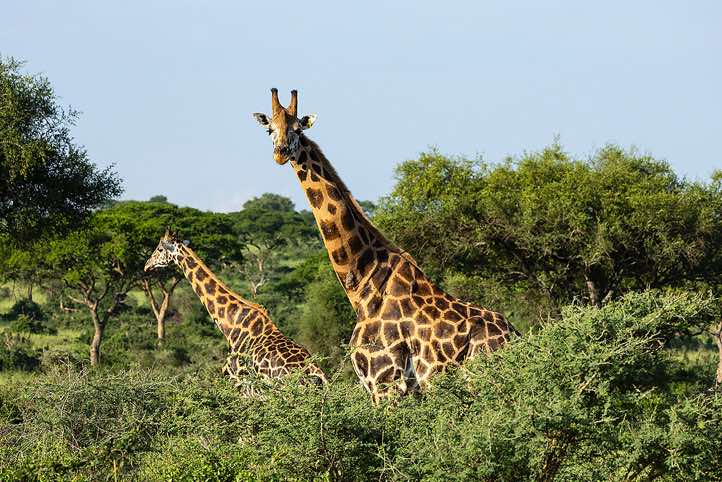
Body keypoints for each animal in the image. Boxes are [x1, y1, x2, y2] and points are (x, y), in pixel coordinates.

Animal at [252, 89, 518, 403]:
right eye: (270, 129)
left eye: (298, 129)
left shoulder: (385, 381)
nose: (281, 153)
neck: (362, 284)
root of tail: (515, 336)